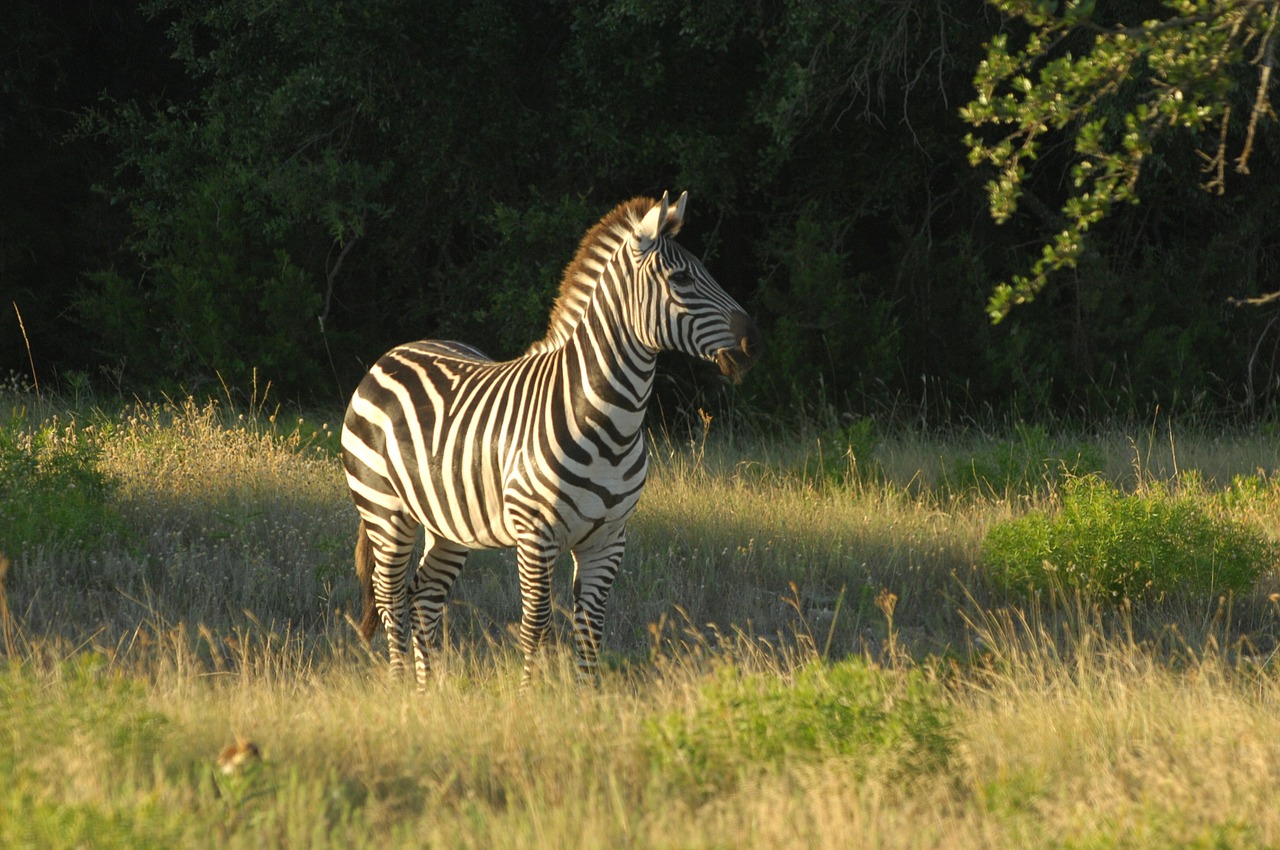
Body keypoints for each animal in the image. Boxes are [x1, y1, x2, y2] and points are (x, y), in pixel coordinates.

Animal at [340, 192, 757, 686]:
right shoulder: (535, 534)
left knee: (424, 593)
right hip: (385, 510)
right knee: (390, 596)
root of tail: (392, 353)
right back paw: (402, 684)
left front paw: (589, 696)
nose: (754, 342)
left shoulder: (608, 538)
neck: (609, 424)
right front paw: (525, 695)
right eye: (681, 278)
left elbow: (591, 626)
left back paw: (428, 691)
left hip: (446, 523)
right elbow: (535, 623)